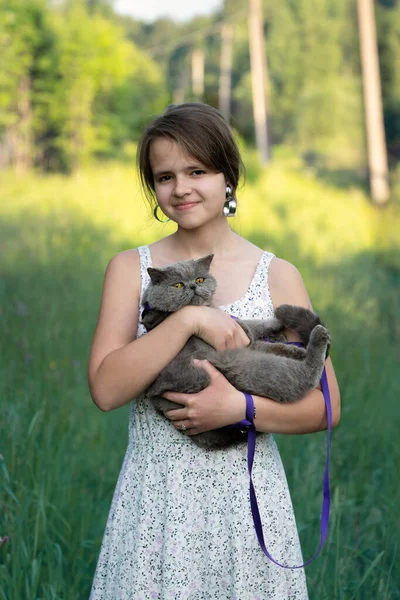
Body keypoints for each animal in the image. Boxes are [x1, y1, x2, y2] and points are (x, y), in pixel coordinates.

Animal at [142, 254, 330, 450]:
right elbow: (251, 325)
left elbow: (264, 337)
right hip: (245, 366)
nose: (193, 286)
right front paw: (277, 323)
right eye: (178, 285)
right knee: (301, 378)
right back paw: (318, 337)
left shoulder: (246, 342)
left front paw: (290, 342)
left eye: (200, 279)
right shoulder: (236, 333)